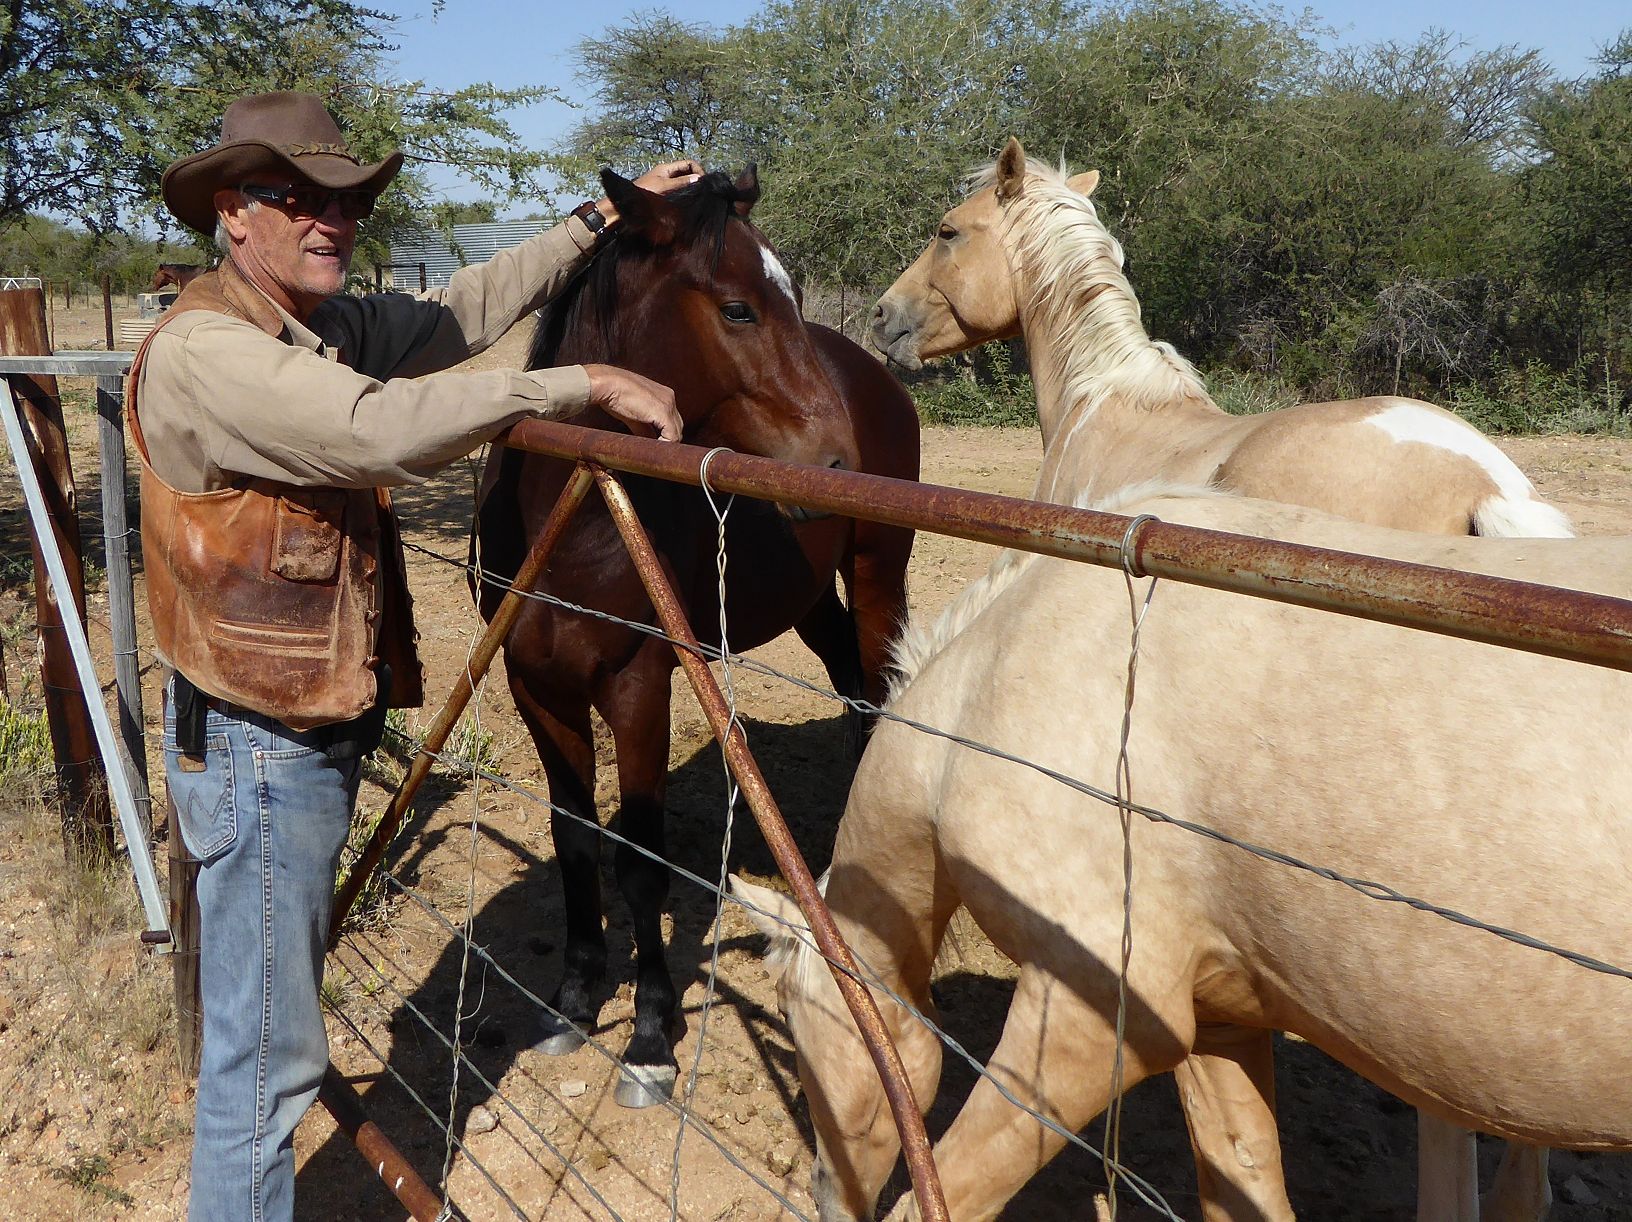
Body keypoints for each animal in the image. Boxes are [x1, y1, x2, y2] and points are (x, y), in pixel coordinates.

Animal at [476, 164, 926, 1102]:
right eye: (739, 309)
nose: (836, 462)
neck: (577, 512)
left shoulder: (640, 686)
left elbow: (640, 860)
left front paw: (650, 1036)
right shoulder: (535, 687)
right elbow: (576, 840)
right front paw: (573, 1000)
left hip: (877, 576)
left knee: (876, 694)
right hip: (808, 599)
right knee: (849, 682)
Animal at [740, 486, 1632, 1220]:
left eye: (804, 1037)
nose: (825, 1198)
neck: (990, 690)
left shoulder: (1097, 1024)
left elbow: (947, 1197)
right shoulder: (1215, 1020)